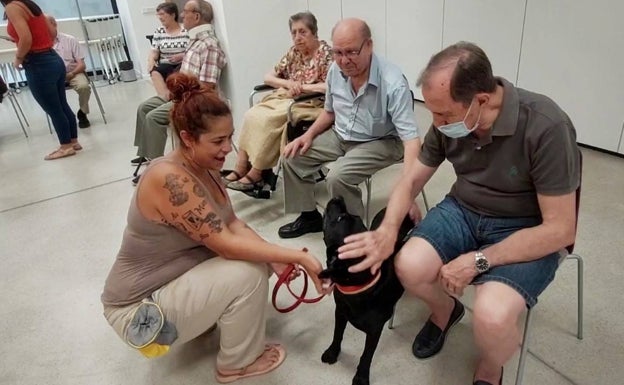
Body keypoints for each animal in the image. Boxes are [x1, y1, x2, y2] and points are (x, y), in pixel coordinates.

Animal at [316, 196, 414, 382]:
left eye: (341, 218)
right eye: (345, 216)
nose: (338, 197)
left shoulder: (374, 330)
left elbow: (367, 355)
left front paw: (361, 376)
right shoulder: (340, 311)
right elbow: (337, 334)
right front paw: (333, 352)